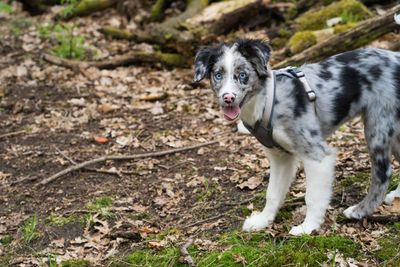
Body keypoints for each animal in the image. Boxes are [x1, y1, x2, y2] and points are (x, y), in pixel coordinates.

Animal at [194, 38, 400, 236]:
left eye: (242, 75)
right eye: (218, 75)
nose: (227, 98)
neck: (267, 100)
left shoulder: (317, 154)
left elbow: (312, 197)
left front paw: (307, 228)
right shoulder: (280, 157)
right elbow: (272, 193)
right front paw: (263, 221)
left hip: (377, 126)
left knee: (383, 174)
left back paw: (359, 211)